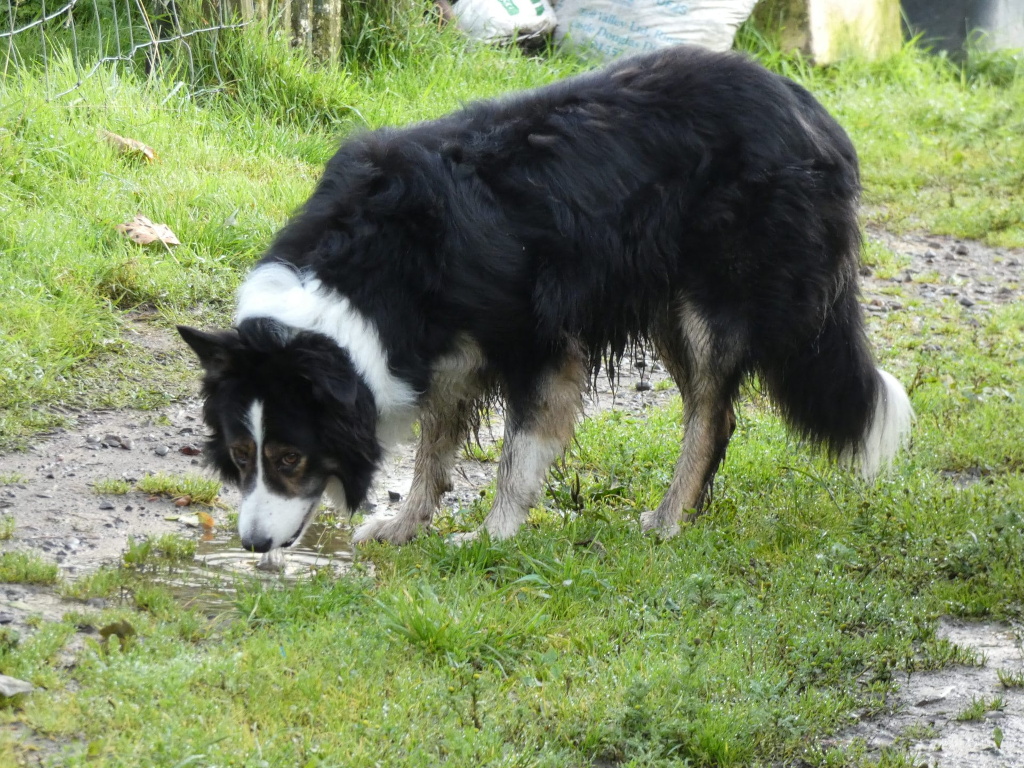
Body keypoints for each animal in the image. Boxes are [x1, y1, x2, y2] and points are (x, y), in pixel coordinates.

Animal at [176, 45, 913, 552]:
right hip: (666, 303)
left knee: (710, 414)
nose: (253, 546)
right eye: (240, 456)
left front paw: (490, 536)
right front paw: (404, 525)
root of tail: (811, 111)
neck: (372, 270)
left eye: (290, 458)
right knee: (717, 411)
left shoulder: (533, 337)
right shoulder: (443, 351)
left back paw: (669, 521)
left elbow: (519, 448)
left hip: (718, 296)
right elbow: (434, 449)